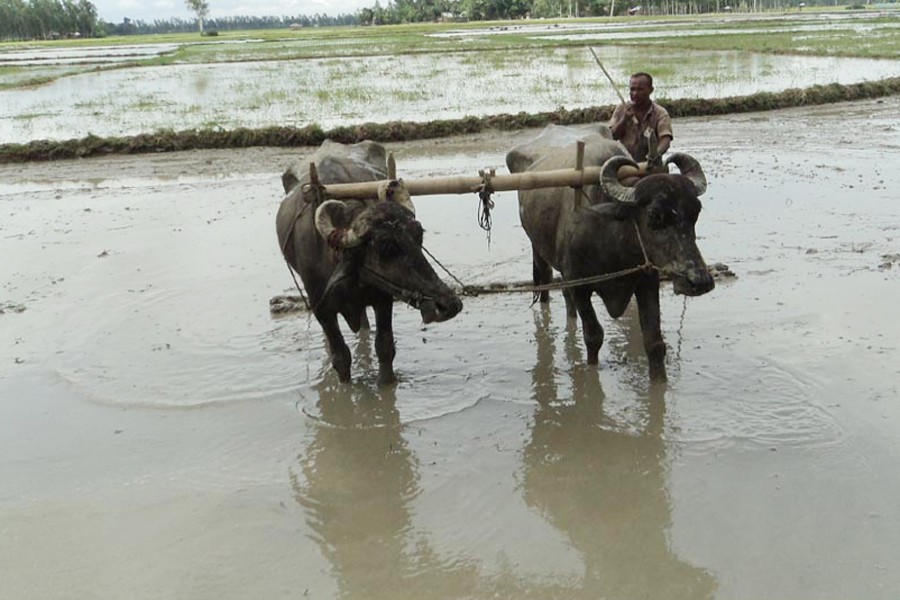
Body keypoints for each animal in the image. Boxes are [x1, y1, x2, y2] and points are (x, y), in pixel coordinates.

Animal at [276, 141, 460, 384]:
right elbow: (340, 357)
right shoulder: (321, 309)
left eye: (418, 235)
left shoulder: (383, 299)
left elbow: (385, 348)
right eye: (386, 246)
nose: (449, 304)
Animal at [510, 125, 712, 380]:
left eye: (696, 212)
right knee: (545, 284)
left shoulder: (647, 281)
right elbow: (593, 336)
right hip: (538, 250)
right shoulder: (580, 284)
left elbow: (654, 343)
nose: (700, 280)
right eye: (654, 216)